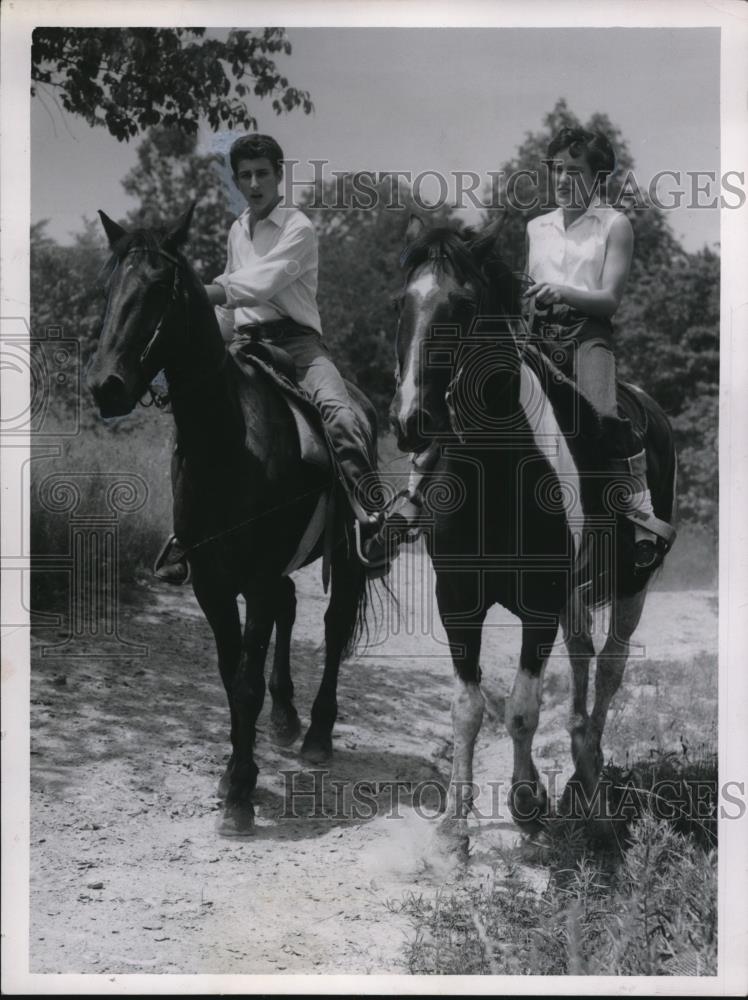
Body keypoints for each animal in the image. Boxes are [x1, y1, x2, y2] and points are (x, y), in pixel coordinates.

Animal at [90, 209, 376, 836]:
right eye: (109, 286)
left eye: (158, 289)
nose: (106, 387)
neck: (228, 440)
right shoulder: (211, 581)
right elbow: (229, 675)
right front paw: (232, 775)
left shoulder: (256, 577)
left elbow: (244, 682)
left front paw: (241, 794)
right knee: (292, 608)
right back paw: (287, 718)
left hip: (344, 557)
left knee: (334, 625)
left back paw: (317, 734)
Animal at [392, 217, 676, 852]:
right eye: (402, 303)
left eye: (464, 304)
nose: (410, 421)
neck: (498, 474)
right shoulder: (458, 598)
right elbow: (468, 707)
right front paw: (455, 823)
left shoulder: (542, 600)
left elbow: (522, 709)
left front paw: (526, 804)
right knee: (582, 660)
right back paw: (580, 771)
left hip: (632, 587)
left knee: (610, 669)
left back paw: (590, 783)